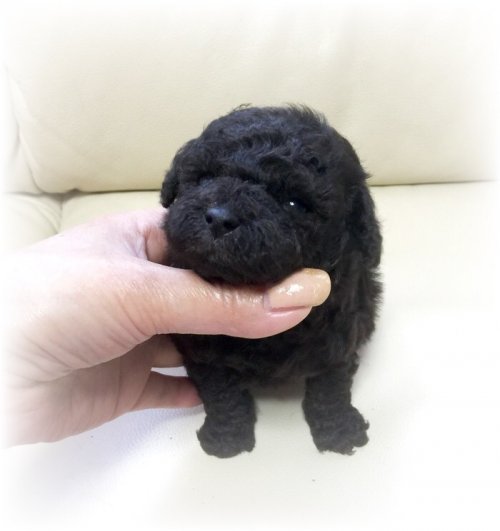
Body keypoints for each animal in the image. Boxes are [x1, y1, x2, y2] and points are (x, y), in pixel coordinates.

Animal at [160, 105, 382, 458]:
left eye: (293, 203)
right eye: (205, 178)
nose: (220, 218)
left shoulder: (340, 334)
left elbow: (331, 385)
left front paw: (339, 430)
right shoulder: (200, 343)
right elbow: (221, 392)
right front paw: (227, 437)